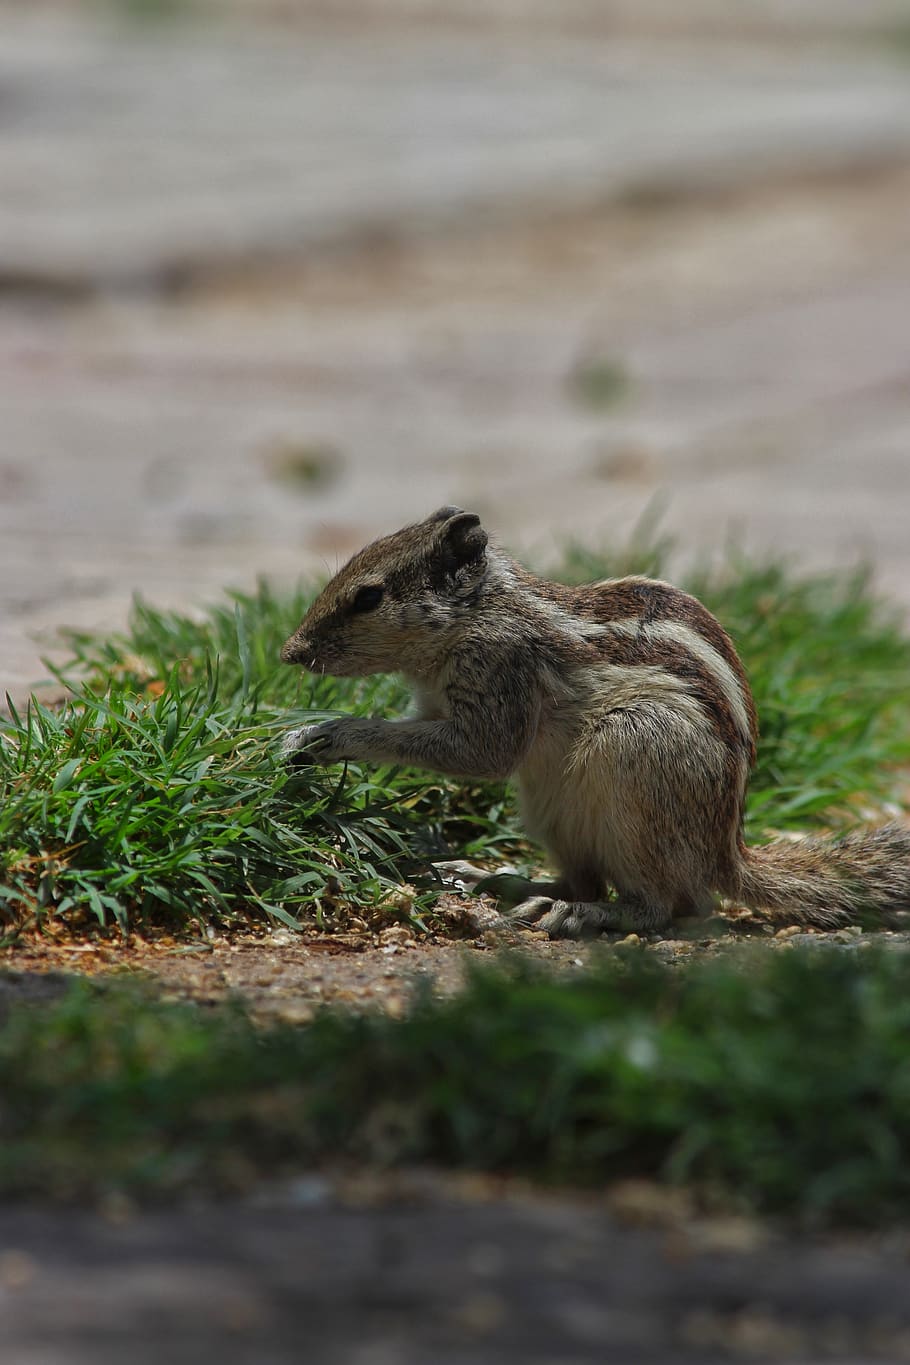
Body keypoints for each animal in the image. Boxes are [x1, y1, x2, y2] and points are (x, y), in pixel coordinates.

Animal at [280, 506, 910, 937]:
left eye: (368, 597)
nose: (290, 651)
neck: (480, 613)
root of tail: (724, 855)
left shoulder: (499, 671)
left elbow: (479, 753)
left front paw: (333, 734)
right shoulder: (435, 704)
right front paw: (298, 734)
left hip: (636, 758)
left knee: (666, 907)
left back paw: (583, 913)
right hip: (550, 809)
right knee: (582, 875)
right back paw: (500, 881)